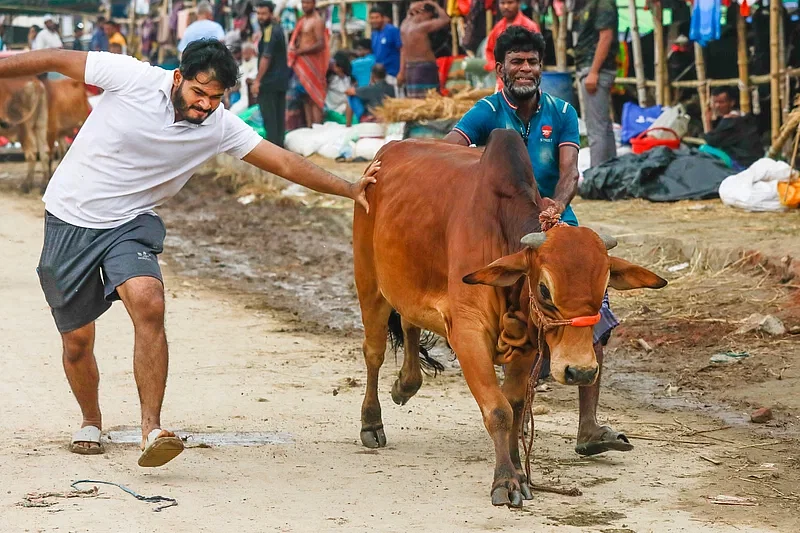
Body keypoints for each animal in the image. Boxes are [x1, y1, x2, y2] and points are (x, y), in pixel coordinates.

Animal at [354, 130, 664, 508]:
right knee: (374, 352)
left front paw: (519, 471)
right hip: (369, 284)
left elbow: (515, 407)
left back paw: (405, 384)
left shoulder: (529, 347)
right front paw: (506, 481)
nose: (580, 372)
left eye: (605, 285)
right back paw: (372, 423)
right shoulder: (469, 334)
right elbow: (499, 410)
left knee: (411, 324)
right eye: (545, 289)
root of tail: (386, 153)